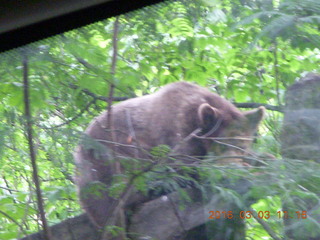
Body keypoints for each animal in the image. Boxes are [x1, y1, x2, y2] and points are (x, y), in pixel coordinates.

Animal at [73, 80, 264, 229]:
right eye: (221, 146)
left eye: (242, 146)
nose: (233, 167)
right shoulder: (175, 130)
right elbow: (183, 167)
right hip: (105, 156)